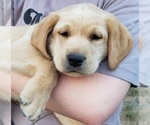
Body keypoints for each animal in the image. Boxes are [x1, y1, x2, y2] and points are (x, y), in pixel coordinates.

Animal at [0, 3, 132, 125]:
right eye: (63, 33)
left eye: (96, 36)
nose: (75, 59)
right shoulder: (10, 48)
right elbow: (50, 63)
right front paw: (36, 100)